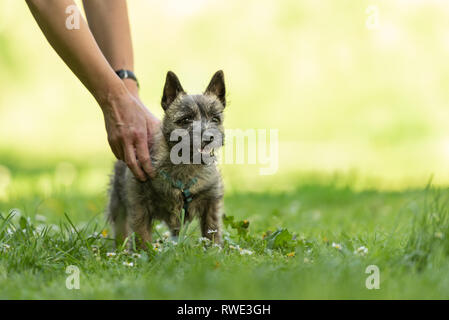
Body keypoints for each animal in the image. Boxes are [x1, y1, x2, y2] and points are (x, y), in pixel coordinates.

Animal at [104, 71, 224, 249]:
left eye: (215, 119)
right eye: (186, 119)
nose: (209, 137)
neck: (186, 165)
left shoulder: (211, 203)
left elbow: (212, 230)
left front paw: (213, 251)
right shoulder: (140, 206)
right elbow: (142, 236)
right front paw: (144, 253)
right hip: (118, 205)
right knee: (121, 229)